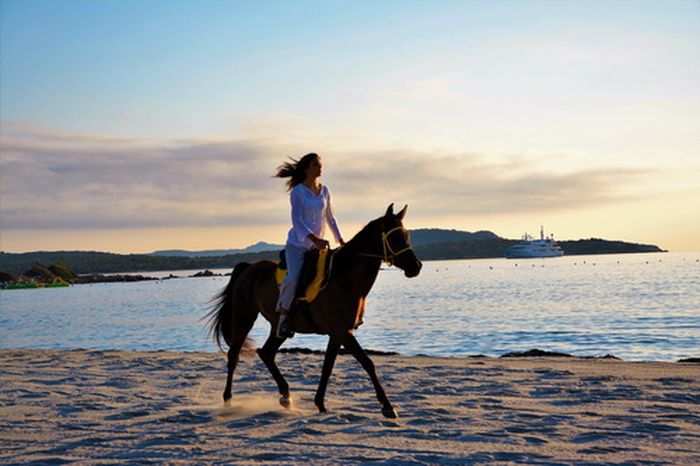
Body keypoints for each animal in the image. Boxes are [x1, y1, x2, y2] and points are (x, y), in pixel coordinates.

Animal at [206, 204, 422, 418]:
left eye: (407, 235)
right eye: (395, 237)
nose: (416, 266)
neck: (344, 277)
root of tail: (249, 268)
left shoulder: (338, 333)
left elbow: (327, 367)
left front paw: (320, 404)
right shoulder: (343, 332)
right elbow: (367, 362)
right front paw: (387, 406)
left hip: (279, 326)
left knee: (266, 353)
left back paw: (286, 395)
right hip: (245, 317)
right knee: (234, 355)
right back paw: (228, 400)